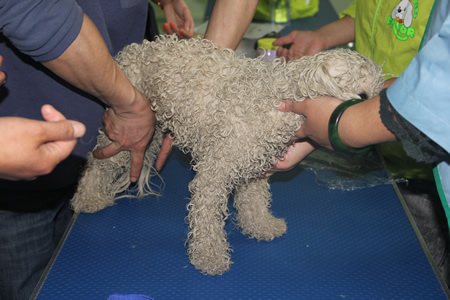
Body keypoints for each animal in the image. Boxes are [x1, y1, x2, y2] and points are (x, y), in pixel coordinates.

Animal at [71, 34, 384, 274]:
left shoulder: (253, 166)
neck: (275, 99)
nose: (372, 122)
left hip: (153, 129)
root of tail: (133, 51)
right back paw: (88, 198)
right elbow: (207, 220)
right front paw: (209, 257)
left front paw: (261, 225)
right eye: (363, 95)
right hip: (126, 131)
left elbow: (254, 201)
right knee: (98, 163)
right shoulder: (214, 174)